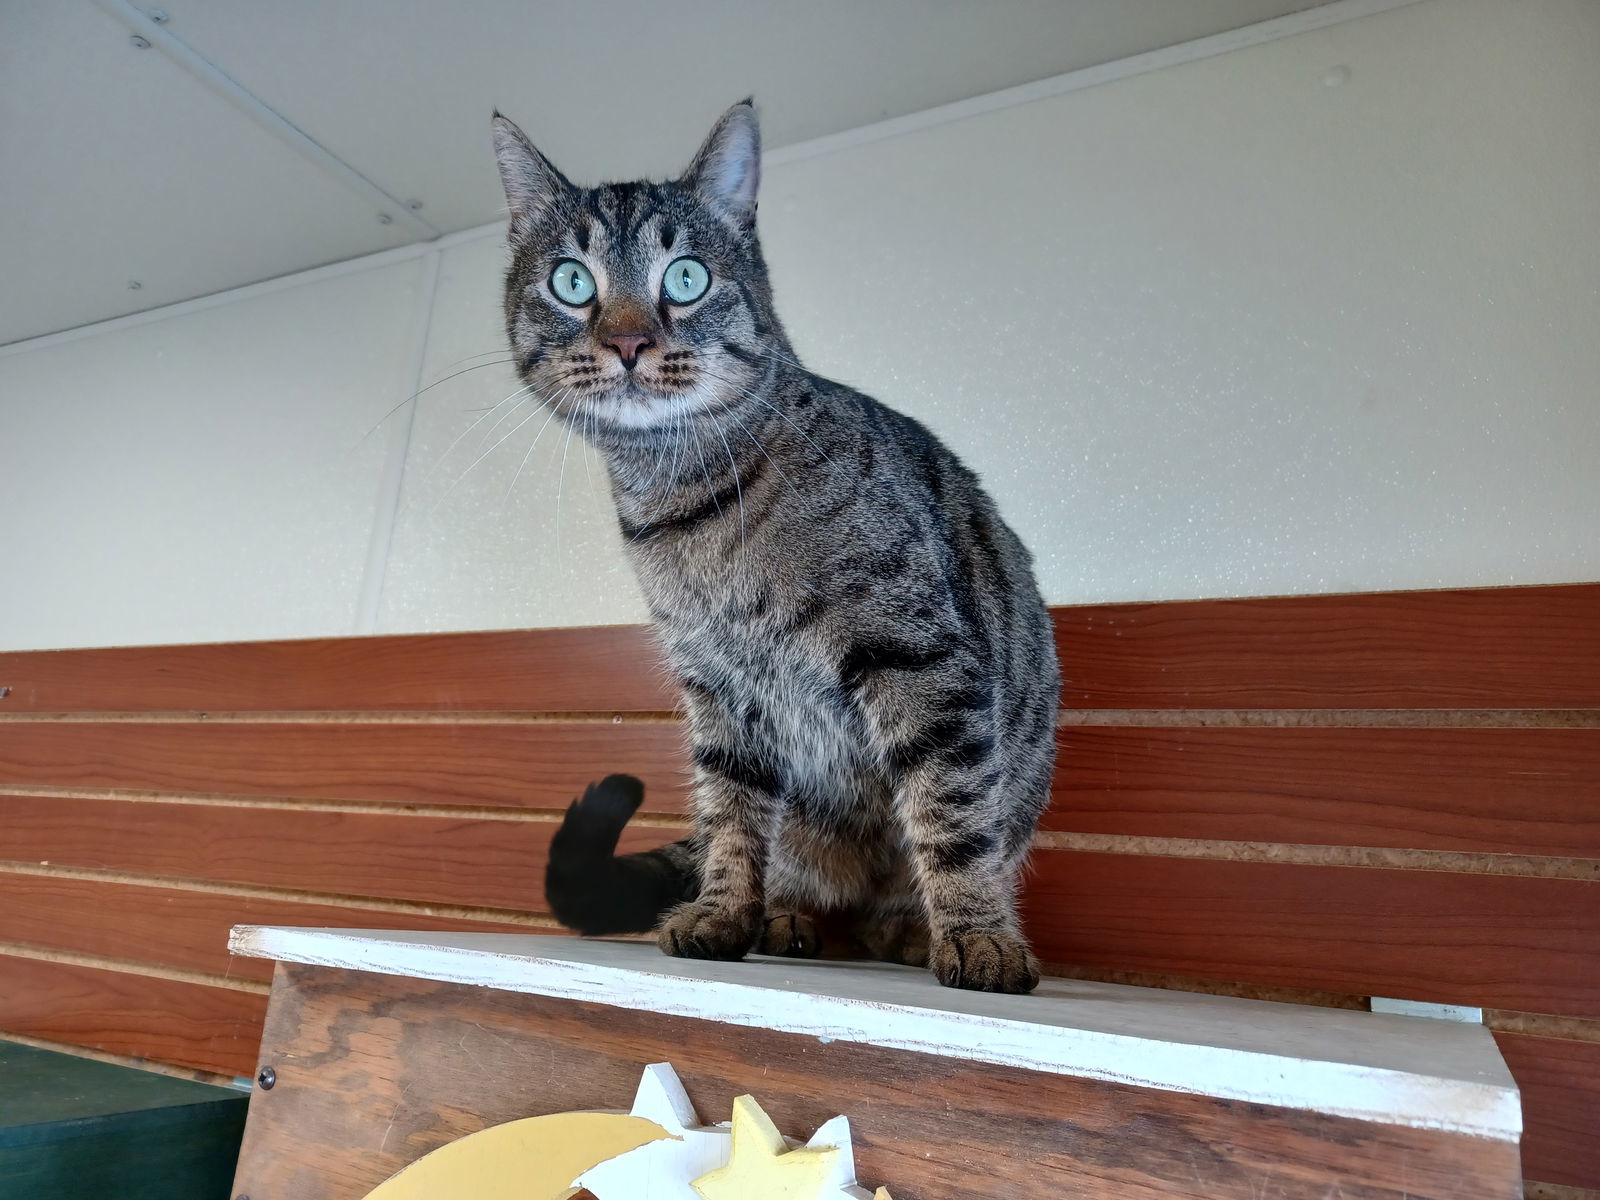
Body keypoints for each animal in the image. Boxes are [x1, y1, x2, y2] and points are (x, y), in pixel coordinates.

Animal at [489, 98, 1062, 998]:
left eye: (686, 278)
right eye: (572, 283)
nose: (627, 342)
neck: (689, 500)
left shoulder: (922, 658)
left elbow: (951, 812)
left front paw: (976, 933)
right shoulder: (720, 686)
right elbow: (730, 816)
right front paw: (724, 912)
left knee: (914, 879)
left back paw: (912, 928)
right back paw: (782, 917)